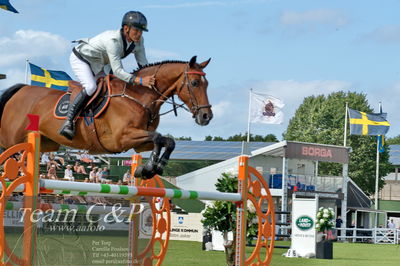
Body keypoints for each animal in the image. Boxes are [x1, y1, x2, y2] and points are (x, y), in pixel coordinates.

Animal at [0, 56, 212, 179]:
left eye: (207, 84)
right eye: (194, 83)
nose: (206, 116)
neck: (138, 96)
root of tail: (21, 89)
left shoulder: (139, 143)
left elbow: (168, 141)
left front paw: (154, 168)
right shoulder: (122, 138)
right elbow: (159, 138)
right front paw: (149, 168)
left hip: (46, 143)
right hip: (11, 141)